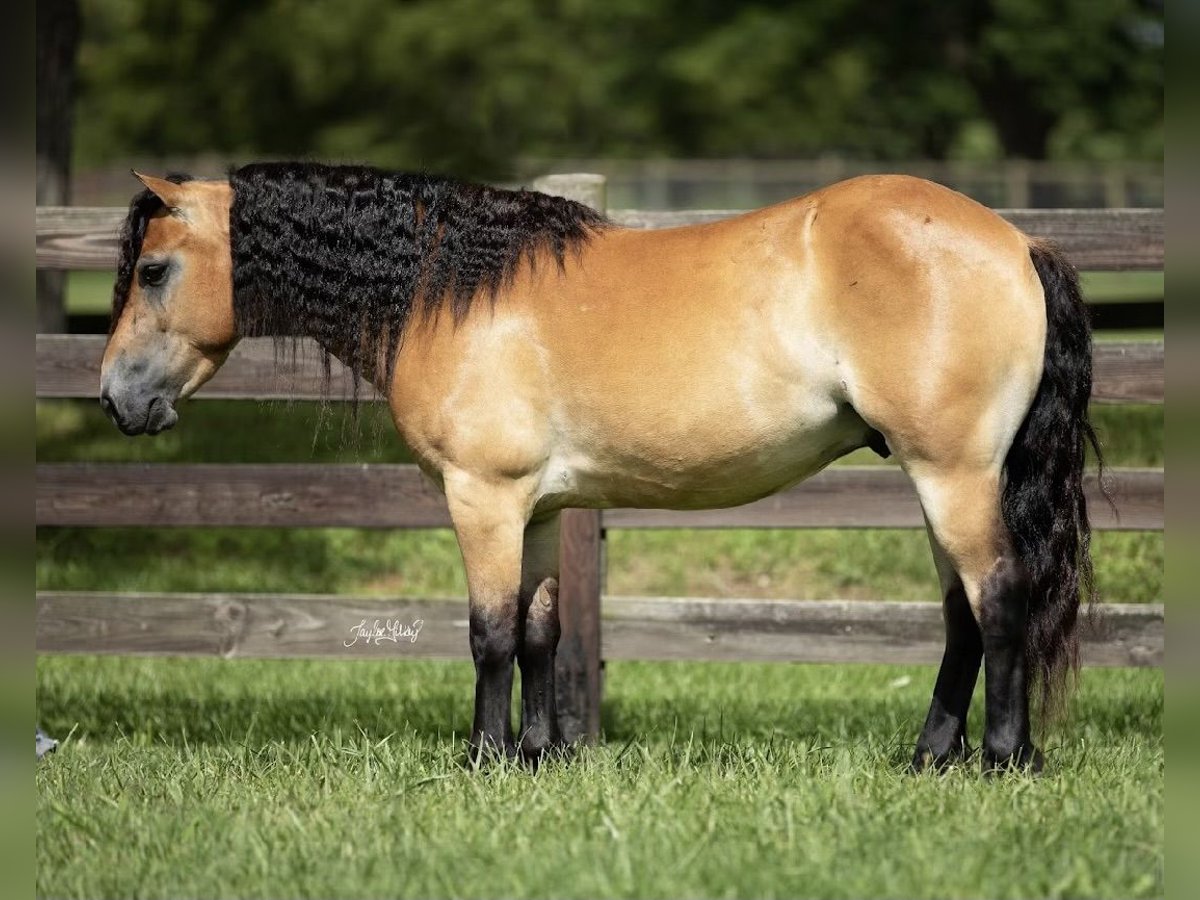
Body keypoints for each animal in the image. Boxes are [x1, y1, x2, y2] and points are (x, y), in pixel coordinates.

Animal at [100, 162, 1100, 772]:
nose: (114, 398)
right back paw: (931, 757)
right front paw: (539, 756)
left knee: (999, 597)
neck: (451, 292)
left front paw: (482, 759)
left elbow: (489, 633)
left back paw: (1000, 759)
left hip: (954, 473)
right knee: (963, 613)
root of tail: (1017, 242)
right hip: (935, 478)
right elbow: (541, 632)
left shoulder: (484, 499)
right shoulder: (538, 510)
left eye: (152, 270)